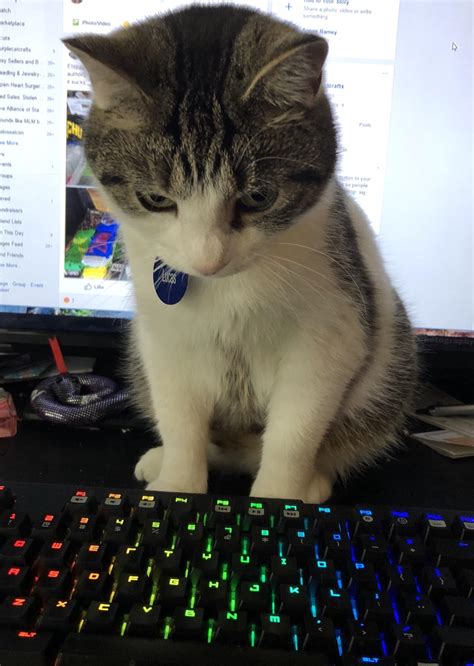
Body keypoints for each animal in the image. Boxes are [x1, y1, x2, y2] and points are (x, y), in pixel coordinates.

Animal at [64, 3, 414, 504]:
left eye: (258, 198)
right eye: (155, 199)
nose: (208, 260)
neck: (230, 289)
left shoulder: (331, 335)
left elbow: (294, 433)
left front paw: (280, 497)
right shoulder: (164, 338)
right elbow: (179, 418)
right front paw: (177, 483)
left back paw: (313, 481)